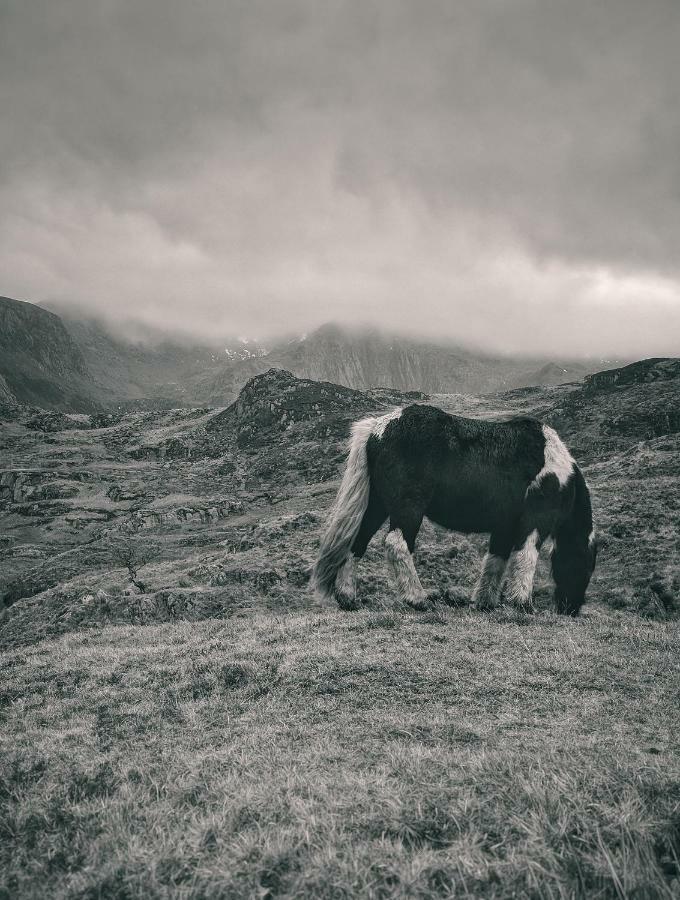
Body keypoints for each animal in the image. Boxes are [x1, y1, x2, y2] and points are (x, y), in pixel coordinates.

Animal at [312, 404, 596, 616]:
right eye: (585, 564)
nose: (570, 609)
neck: (562, 475)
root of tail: (378, 429)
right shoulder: (535, 522)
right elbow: (526, 556)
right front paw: (522, 604)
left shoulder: (504, 528)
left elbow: (495, 561)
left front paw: (485, 603)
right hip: (408, 508)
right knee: (397, 543)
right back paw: (417, 599)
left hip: (377, 506)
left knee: (357, 542)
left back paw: (348, 598)